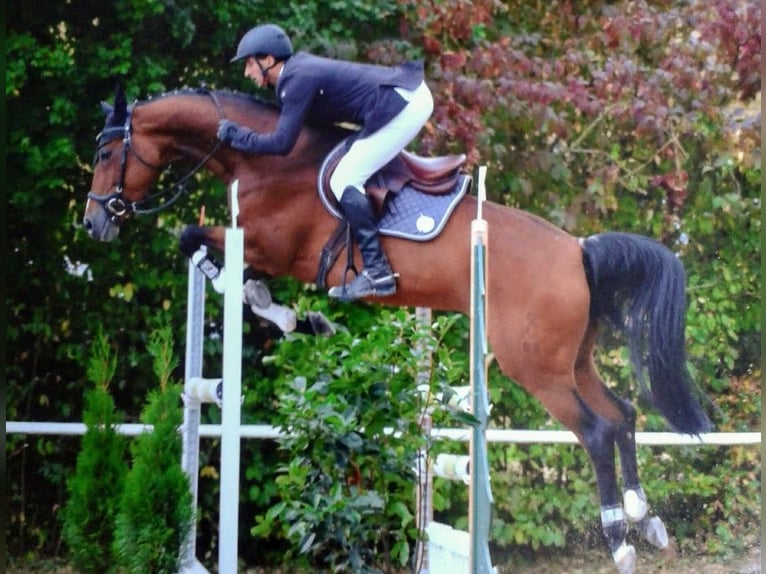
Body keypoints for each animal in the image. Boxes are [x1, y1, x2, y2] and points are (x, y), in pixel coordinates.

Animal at [84, 83, 712, 572]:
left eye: (108, 150)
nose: (93, 223)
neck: (271, 162)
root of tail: (580, 250)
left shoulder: (269, 246)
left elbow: (194, 239)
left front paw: (288, 313)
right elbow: (216, 259)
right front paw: (302, 318)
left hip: (533, 367)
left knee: (597, 431)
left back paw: (618, 540)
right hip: (571, 361)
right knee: (623, 415)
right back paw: (645, 519)